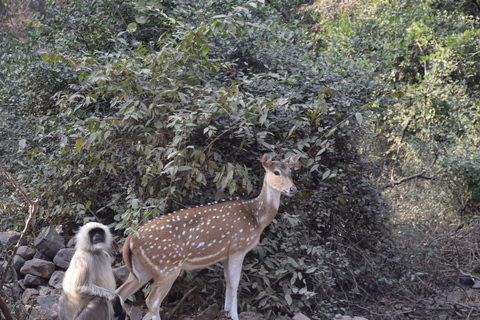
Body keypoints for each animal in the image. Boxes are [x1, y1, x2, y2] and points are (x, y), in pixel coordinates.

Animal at [116, 154, 300, 318]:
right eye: (276, 172)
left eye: (291, 171)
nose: (293, 189)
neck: (256, 218)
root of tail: (130, 239)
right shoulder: (238, 247)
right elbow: (235, 283)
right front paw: (234, 315)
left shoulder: (226, 253)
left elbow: (227, 280)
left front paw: (226, 311)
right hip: (167, 266)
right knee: (152, 301)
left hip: (142, 269)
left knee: (120, 292)